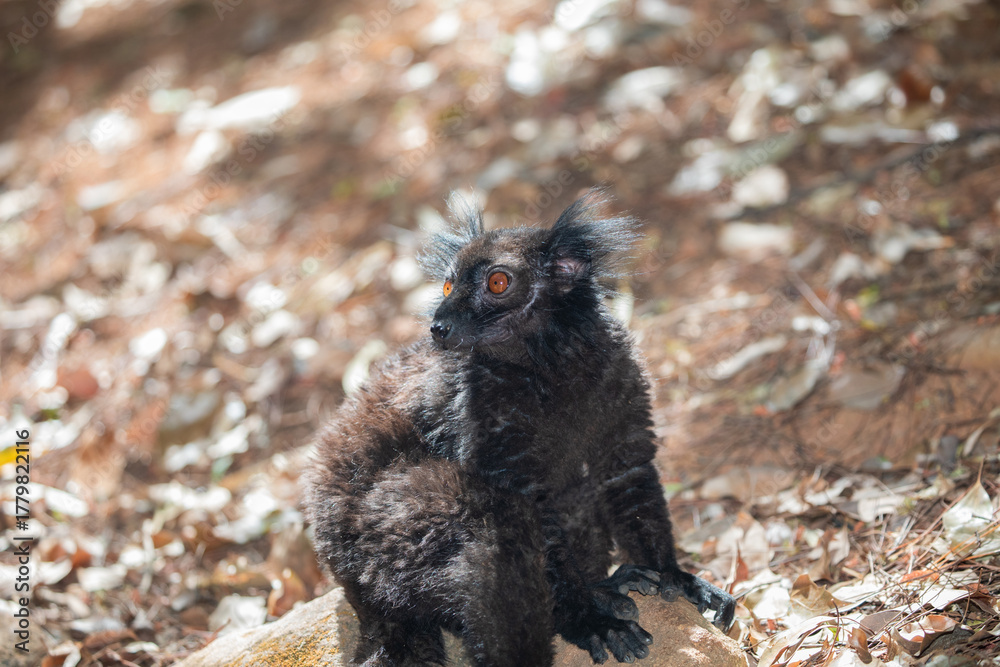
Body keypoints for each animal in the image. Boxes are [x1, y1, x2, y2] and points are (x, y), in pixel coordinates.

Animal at [303, 189, 735, 666]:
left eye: (497, 283)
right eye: (448, 286)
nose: (439, 326)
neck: (549, 365)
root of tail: (347, 580)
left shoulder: (618, 376)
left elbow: (626, 473)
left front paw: (673, 576)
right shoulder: (485, 413)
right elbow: (529, 509)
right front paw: (586, 619)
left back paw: (607, 583)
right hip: (381, 542)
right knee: (493, 520)